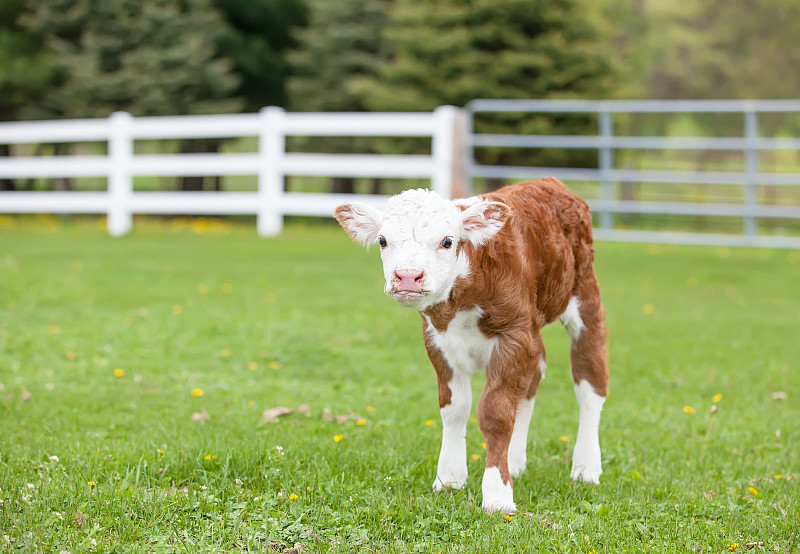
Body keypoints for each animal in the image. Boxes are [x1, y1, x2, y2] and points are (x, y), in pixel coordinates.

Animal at [334, 178, 608, 512]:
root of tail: (548, 183)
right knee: (534, 376)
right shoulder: (438, 341)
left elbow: (495, 412)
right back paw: (516, 461)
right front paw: (450, 477)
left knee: (590, 382)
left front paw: (498, 494)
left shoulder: (514, 336)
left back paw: (586, 468)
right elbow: (455, 408)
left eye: (447, 242)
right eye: (383, 241)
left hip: (585, 298)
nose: (408, 276)